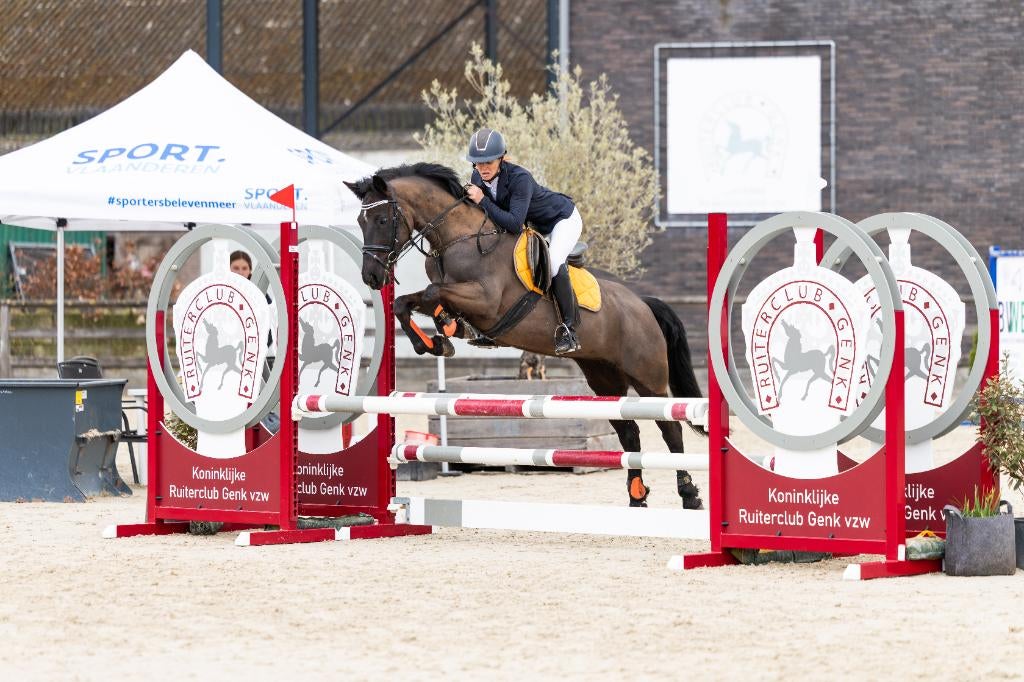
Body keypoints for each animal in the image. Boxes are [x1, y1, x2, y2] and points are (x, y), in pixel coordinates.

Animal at [344, 163, 704, 509]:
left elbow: (433, 293)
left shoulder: (487, 302)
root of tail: (643, 304)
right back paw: (637, 495)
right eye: (360, 220)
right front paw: (437, 339)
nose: (371, 277)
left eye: (382, 219)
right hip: (604, 378)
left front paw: (442, 333)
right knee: (629, 431)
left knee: (671, 428)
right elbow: (408, 302)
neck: (459, 238)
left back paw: (689, 494)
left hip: (647, 378)